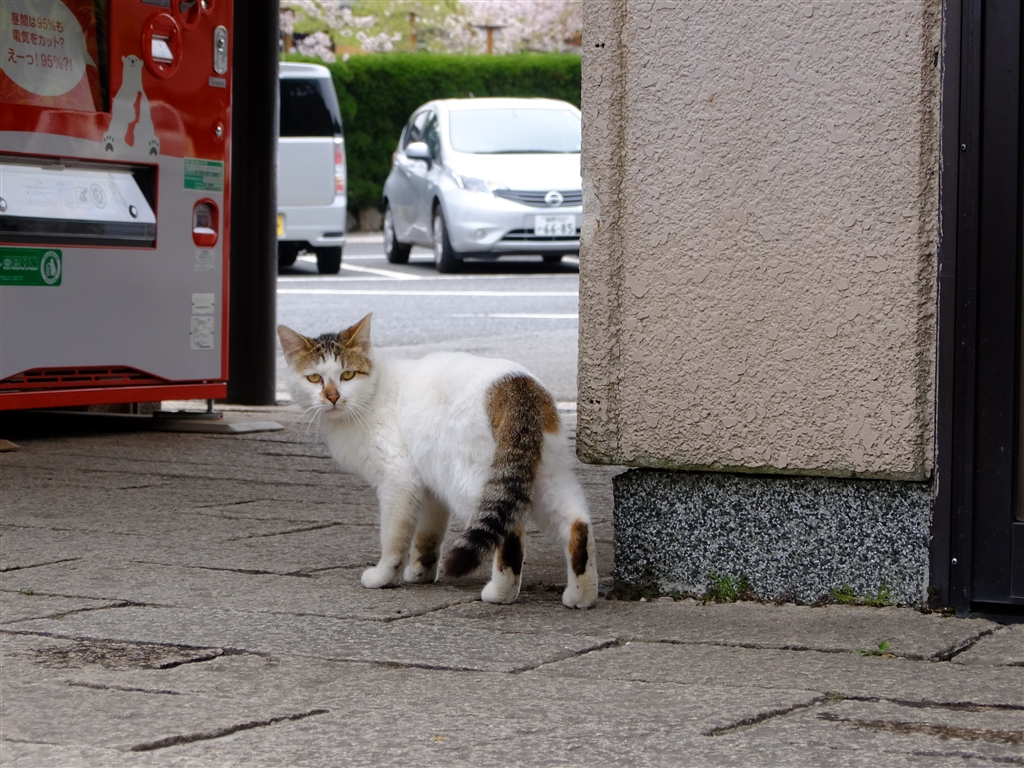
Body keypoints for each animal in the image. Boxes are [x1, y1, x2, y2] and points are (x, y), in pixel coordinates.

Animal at [278, 315, 598, 610]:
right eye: (314, 378)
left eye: (348, 375)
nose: (332, 397)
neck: (371, 395)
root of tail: (515, 384)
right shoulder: (429, 484)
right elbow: (427, 535)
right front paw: (421, 571)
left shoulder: (399, 481)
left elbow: (393, 536)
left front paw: (385, 575)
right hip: (539, 476)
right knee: (577, 523)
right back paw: (581, 596)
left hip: (472, 483)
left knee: (509, 531)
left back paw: (500, 593)